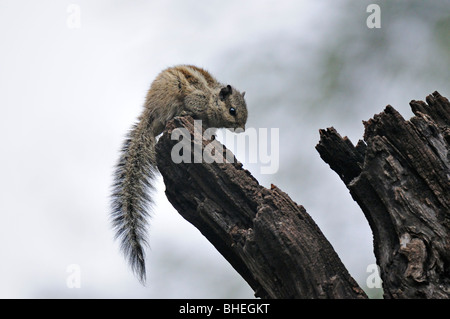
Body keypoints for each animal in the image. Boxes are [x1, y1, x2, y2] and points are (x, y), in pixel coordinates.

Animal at [110, 64, 248, 282]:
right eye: (232, 110)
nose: (242, 129)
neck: (211, 98)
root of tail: (149, 113)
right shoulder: (196, 100)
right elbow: (191, 107)